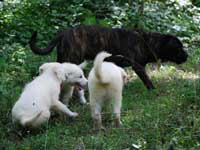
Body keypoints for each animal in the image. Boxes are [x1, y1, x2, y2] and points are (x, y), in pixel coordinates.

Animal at [29, 24, 188, 89]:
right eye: (179, 47)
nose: (187, 55)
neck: (148, 42)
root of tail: (63, 33)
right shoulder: (138, 66)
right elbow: (148, 81)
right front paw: (153, 90)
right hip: (72, 58)